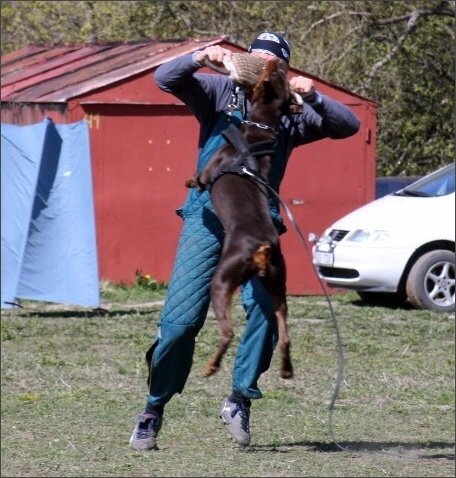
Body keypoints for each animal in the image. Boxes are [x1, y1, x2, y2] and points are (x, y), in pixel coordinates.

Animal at [183, 56, 302, 380]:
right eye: (281, 79)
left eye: (272, 76)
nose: (275, 63)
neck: (260, 129)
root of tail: (262, 247)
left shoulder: (207, 174)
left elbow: (196, 179)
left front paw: (186, 181)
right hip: (277, 285)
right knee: (284, 333)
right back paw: (286, 370)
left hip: (222, 281)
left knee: (228, 333)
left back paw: (210, 367)